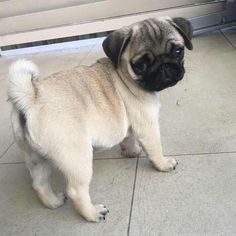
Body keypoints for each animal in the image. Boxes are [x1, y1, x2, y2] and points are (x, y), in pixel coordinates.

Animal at [7, 16, 193, 221]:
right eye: (141, 65)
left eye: (178, 51)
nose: (164, 66)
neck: (124, 74)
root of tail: (31, 98)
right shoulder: (147, 126)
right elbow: (155, 149)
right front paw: (163, 164)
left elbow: (129, 138)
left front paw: (131, 151)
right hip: (77, 157)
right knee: (76, 191)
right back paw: (93, 213)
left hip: (35, 157)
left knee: (39, 183)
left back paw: (53, 201)